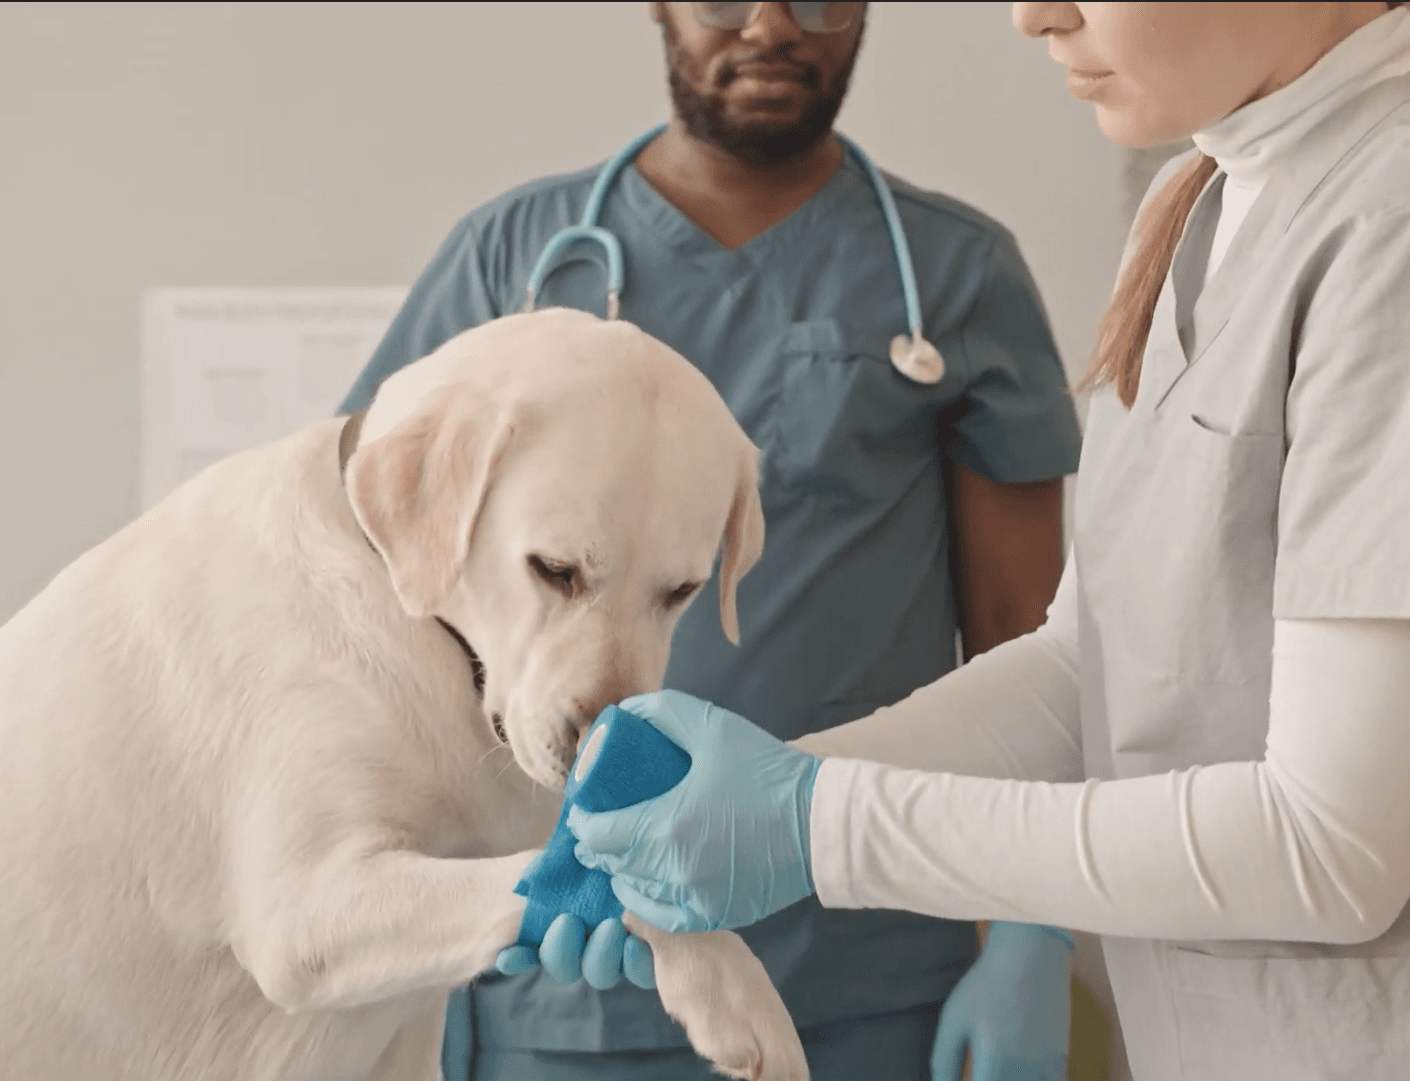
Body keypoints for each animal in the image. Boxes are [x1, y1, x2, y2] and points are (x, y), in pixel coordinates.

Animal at [0, 308, 806, 1081]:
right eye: (553, 569)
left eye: (682, 590)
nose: (593, 744)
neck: (411, 618)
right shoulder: (305, 913)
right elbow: (565, 877)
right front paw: (736, 993)